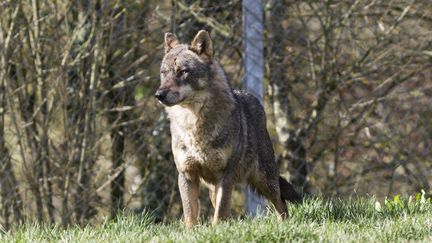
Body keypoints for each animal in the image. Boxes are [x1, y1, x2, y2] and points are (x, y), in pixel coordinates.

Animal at [155, 29, 300, 228]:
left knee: (281, 203)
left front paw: (217, 230)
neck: (194, 125)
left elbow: (221, 212)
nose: (158, 94)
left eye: (183, 72)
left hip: (265, 180)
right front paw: (191, 232)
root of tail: (250, 96)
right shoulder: (187, 174)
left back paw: (283, 226)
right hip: (214, 186)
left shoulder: (225, 175)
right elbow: (191, 214)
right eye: (164, 73)